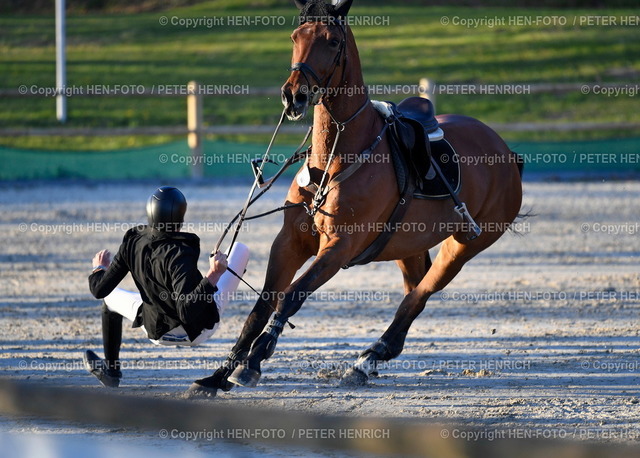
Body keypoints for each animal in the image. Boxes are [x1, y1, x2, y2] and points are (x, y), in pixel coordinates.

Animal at [188, 0, 524, 396]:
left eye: (333, 41)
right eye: (295, 36)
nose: (293, 95)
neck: (333, 160)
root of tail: (504, 150)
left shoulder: (338, 247)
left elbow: (292, 295)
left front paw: (254, 360)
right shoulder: (289, 241)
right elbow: (262, 305)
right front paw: (219, 374)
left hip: (464, 245)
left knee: (418, 296)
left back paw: (368, 358)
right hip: (407, 246)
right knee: (413, 291)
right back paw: (372, 360)